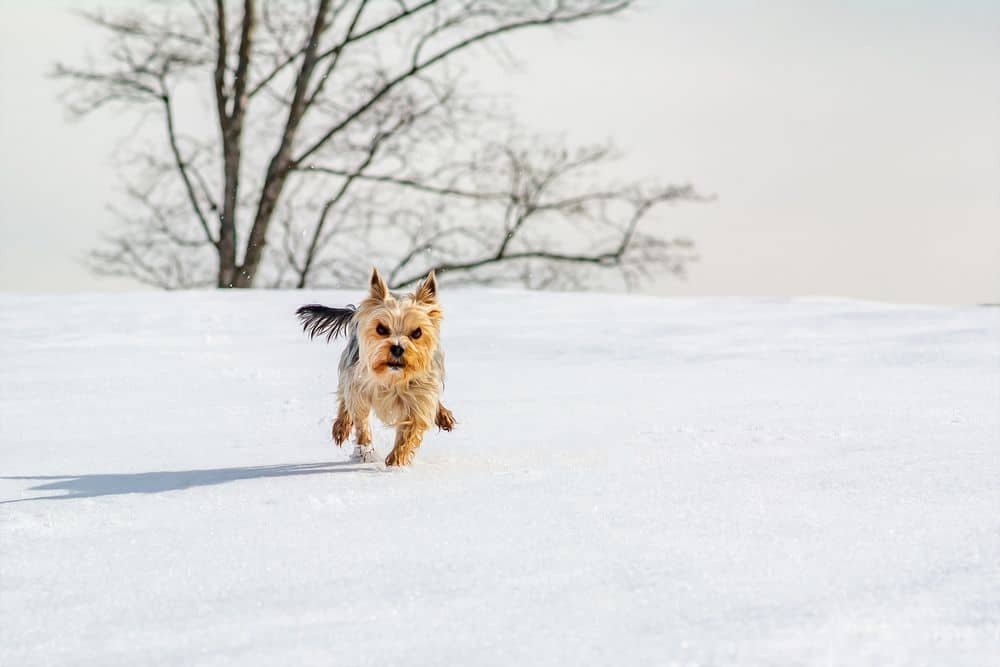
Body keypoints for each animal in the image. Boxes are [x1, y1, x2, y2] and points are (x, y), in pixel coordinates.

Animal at [294, 268, 456, 468]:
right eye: (381, 329)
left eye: (417, 332)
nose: (397, 348)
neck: (393, 377)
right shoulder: (359, 385)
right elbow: (360, 418)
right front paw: (365, 452)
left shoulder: (420, 395)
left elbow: (411, 428)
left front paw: (396, 460)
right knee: (344, 397)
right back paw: (341, 427)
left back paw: (444, 416)